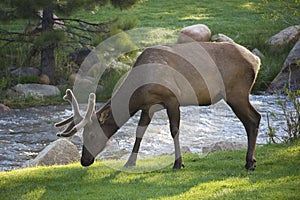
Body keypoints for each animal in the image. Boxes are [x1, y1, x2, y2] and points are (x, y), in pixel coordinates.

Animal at [55, 41, 262, 170]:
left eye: (90, 134)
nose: (84, 160)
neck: (139, 89)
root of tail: (257, 60)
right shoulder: (148, 106)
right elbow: (139, 132)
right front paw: (130, 162)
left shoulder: (172, 98)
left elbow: (174, 130)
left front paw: (178, 163)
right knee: (254, 118)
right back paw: (251, 161)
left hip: (236, 92)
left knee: (253, 118)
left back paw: (249, 162)